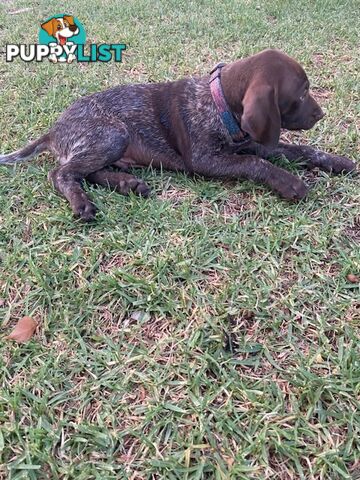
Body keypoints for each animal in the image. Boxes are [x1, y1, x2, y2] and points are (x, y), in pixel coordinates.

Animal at [0, 48, 354, 221]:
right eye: (302, 93)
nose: (321, 114)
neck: (218, 103)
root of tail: (53, 129)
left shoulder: (257, 143)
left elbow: (302, 150)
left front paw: (339, 162)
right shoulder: (205, 160)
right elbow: (257, 165)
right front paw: (289, 182)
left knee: (89, 172)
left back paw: (127, 184)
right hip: (113, 133)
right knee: (62, 173)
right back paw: (82, 202)